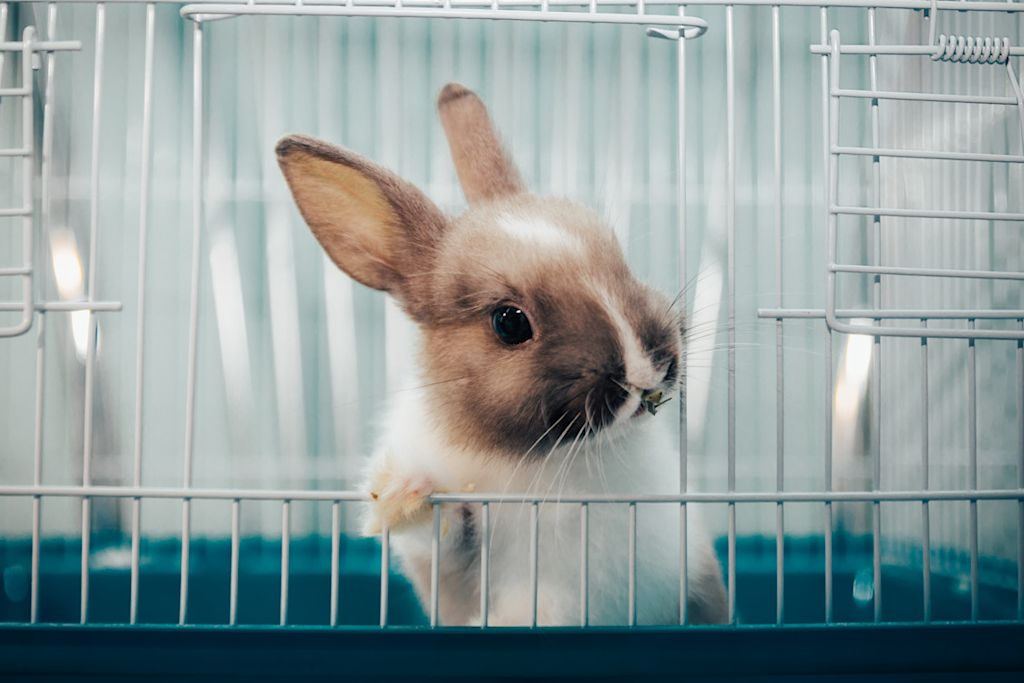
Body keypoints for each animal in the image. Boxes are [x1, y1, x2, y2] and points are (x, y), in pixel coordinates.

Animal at [276, 83, 727, 627]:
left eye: (621, 262)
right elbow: (443, 537)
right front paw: (405, 492)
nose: (646, 368)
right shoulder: (455, 561)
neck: (551, 457)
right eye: (510, 322)